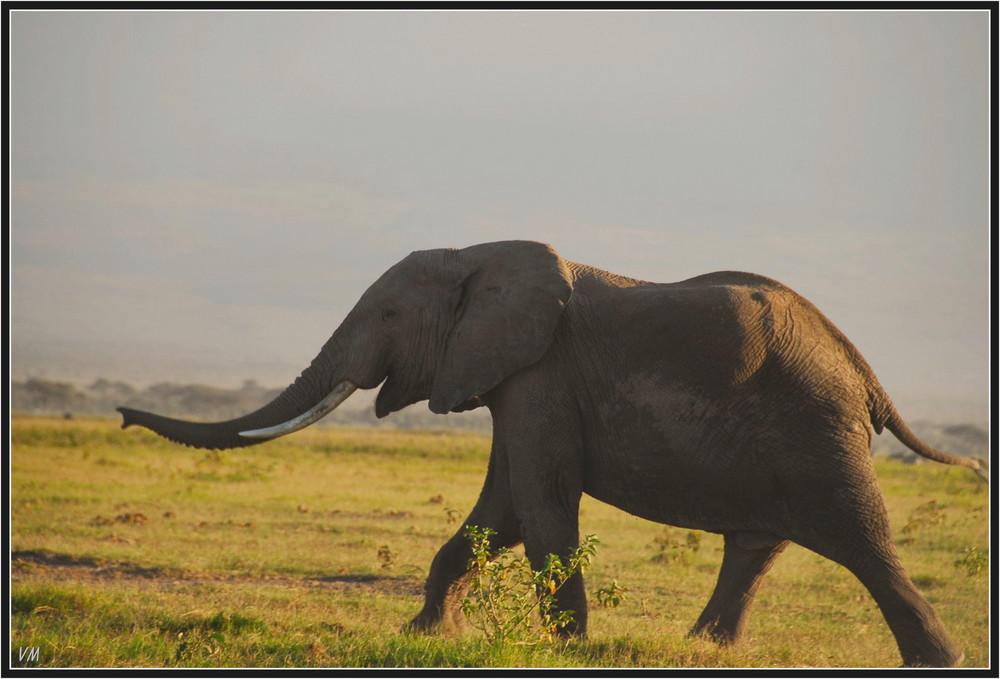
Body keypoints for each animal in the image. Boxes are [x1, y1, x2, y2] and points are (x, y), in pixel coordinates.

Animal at [119, 240, 984, 668]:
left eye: (390, 314)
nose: (123, 415)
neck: (483, 259)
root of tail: (863, 367)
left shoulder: (541, 375)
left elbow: (538, 505)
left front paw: (570, 648)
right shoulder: (516, 380)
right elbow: (496, 514)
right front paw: (423, 634)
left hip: (815, 428)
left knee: (861, 541)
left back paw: (936, 661)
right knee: (759, 541)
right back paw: (702, 649)